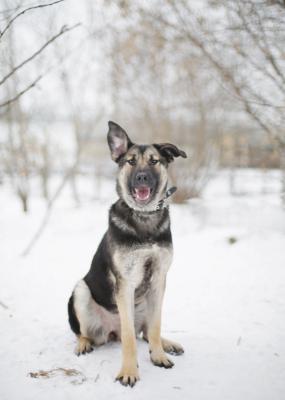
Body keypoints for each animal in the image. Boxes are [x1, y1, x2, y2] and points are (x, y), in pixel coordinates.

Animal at [67, 120, 186, 386]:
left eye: (154, 161)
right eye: (130, 161)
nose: (142, 177)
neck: (144, 218)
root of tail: (111, 332)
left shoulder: (159, 280)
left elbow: (155, 327)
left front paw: (159, 355)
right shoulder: (125, 283)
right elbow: (130, 338)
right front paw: (129, 371)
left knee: (147, 332)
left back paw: (167, 344)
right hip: (80, 291)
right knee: (85, 332)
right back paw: (83, 344)